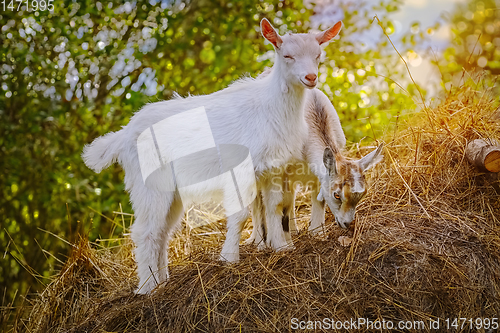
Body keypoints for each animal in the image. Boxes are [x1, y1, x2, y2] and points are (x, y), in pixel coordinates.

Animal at [82, 18, 344, 294]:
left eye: (318, 55)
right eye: (287, 56)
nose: (310, 77)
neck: (269, 107)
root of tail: (123, 135)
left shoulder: (273, 169)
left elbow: (276, 206)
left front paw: (282, 248)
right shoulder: (241, 170)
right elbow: (240, 214)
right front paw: (229, 258)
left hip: (172, 192)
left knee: (162, 230)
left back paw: (162, 281)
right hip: (149, 183)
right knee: (146, 231)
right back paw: (147, 288)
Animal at [248, 87, 384, 248]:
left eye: (362, 195)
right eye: (337, 195)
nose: (347, 223)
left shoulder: (319, 174)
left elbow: (318, 200)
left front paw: (317, 233)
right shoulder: (283, 172)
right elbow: (280, 203)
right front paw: (285, 244)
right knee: (259, 203)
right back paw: (259, 242)